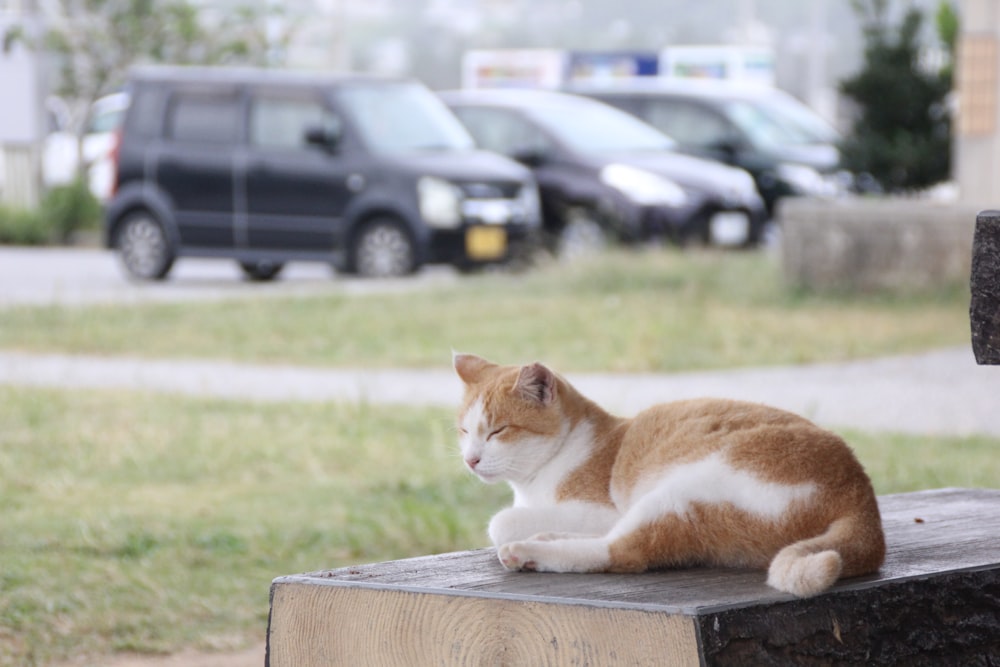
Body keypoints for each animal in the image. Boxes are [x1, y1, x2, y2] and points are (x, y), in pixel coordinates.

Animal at [454, 354, 884, 600]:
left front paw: (516, 528)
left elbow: (501, 521)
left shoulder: (602, 508)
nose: (471, 460)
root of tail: (861, 496)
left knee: (621, 551)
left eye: (497, 431)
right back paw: (545, 539)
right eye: (464, 431)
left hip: (681, 493)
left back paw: (530, 551)